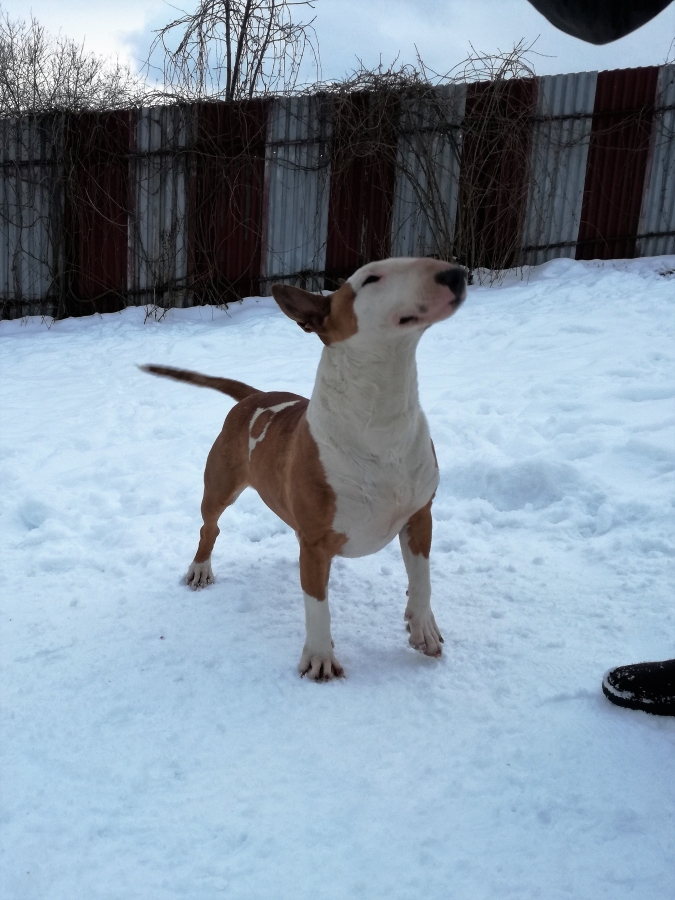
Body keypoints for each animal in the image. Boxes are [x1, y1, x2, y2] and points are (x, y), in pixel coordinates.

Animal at [141, 257, 467, 680]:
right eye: (370, 279)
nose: (457, 274)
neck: (381, 418)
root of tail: (254, 397)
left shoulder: (420, 516)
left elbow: (422, 579)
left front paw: (423, 629)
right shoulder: (315, 543)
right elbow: (317, 605)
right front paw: (319, 658)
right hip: (219, 487)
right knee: (209, 527)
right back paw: (200, 569)